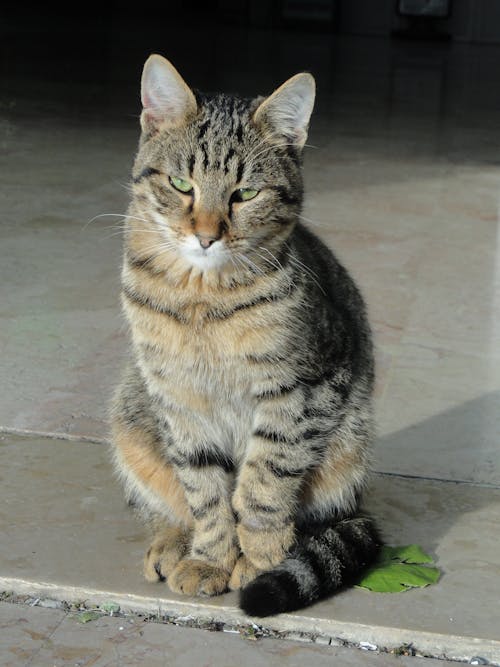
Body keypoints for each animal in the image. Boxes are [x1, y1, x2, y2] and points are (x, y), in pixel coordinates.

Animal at [111, 54, 380, 620]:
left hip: (348, 451)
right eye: (182, 183)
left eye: (246, 193)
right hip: (131, 417)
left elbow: (262, 485)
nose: (206, 236)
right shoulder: (178, 399)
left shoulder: (302, 391)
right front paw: (210, 559)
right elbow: (205, 491)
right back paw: (172, 543)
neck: (202, 299)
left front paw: (258, 563)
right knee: (169, 504)